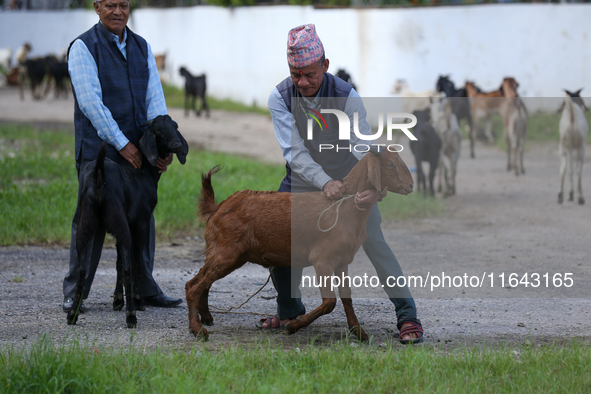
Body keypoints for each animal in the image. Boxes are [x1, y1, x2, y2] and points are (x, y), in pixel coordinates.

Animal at [187, 149, 414, 340]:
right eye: (390, 165)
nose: (411, 185)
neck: (345, 207)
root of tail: (217, 207)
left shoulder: (342, 261)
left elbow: (347, 298)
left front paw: (359, 332)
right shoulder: (322, 259)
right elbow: (329, 302)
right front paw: (293, 326)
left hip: (228, 254)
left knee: (199, 281)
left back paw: (206, 317)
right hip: (226, 252)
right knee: (195, 286)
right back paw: (198, 330)